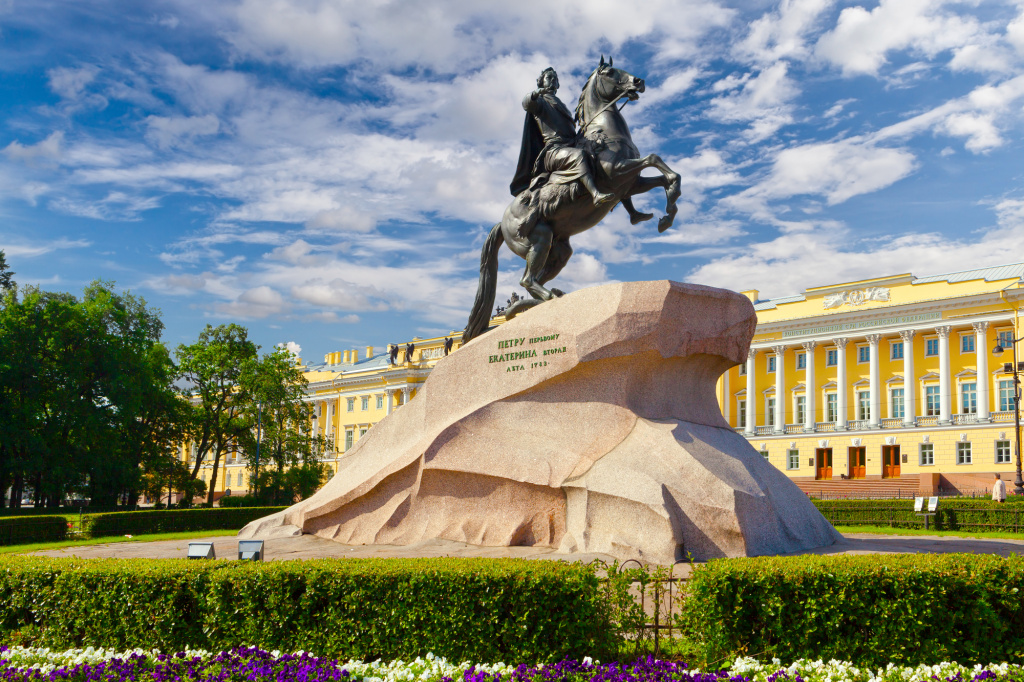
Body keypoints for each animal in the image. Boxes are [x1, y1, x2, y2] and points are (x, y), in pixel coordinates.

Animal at [462, 58, 679, 342]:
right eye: (610, 72)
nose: (639, 82)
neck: (604, 131)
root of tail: (501, 222)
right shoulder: (617, 171)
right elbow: (655, 158)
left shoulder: (630, 183)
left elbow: (664, 177)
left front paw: (667, 213)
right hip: (539, 239)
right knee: (527, 280)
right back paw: (547, 298)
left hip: (559, 251)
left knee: (532, 280)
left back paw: (541, 300)